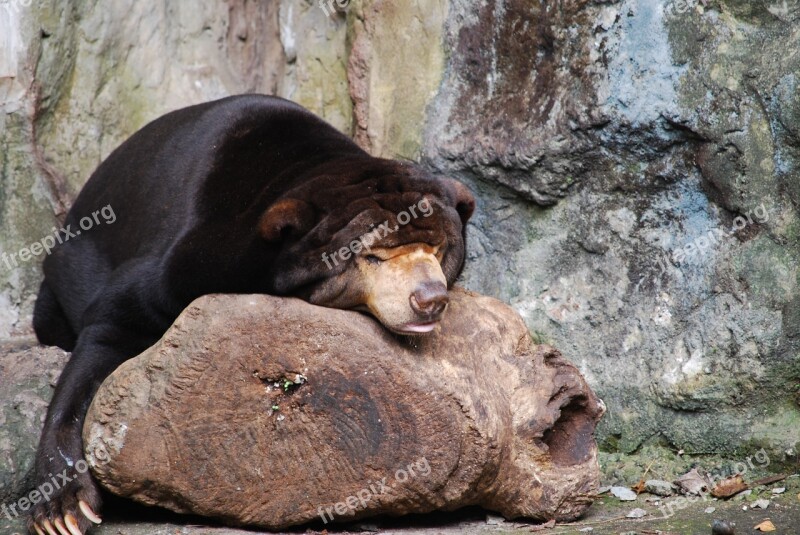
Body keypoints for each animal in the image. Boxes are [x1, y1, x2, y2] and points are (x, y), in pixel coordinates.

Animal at [26, 94, 476, 532]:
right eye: (372, 257)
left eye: (437, 248)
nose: (430, 299)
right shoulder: (183, 256)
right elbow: (111, 325)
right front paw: (61, 509)